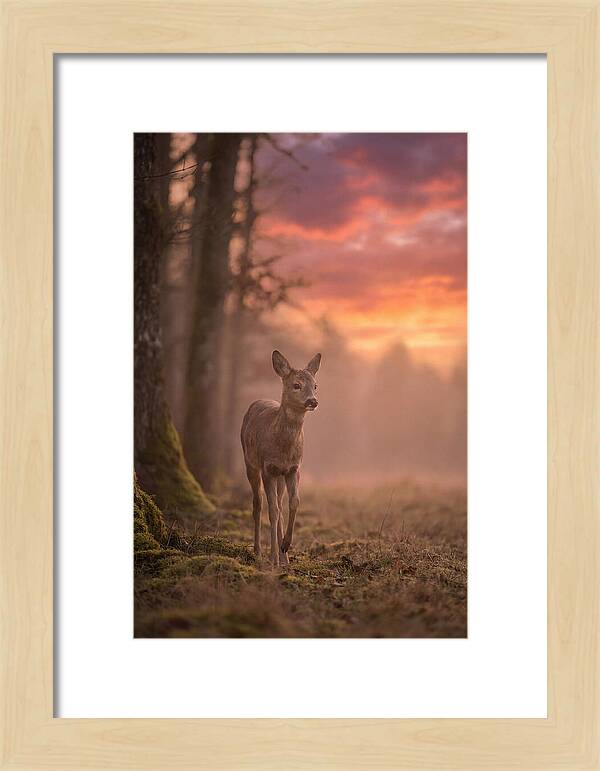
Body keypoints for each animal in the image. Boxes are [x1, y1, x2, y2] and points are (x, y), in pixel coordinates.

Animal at [241, 350, 322, 567]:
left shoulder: (294, 468)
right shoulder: (268, 468)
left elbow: (294, 502)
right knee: (258, 504)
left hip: (280, 476)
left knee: (278, 501)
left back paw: (284, 556)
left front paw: (285, 545)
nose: (312, 401)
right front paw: (273, 558)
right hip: (250, 463)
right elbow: (273, 511)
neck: (284, 449)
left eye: (315, 385)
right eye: (296, 385)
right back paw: (259, 552)